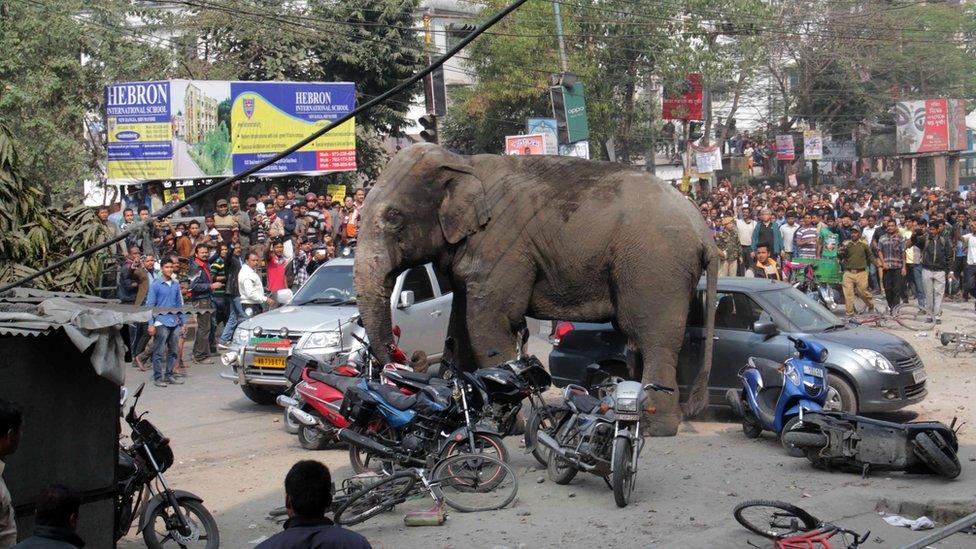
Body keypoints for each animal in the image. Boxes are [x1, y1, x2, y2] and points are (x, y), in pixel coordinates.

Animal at [354, 143, 720, 434]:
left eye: (394, 216)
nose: (407, 357)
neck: (463, 163)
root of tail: (703, 229)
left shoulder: (501, 247)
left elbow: (491, 321)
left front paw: (504, 424)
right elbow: (459, 326)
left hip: (655, 267)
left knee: (652, 337)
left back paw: (655, 426)